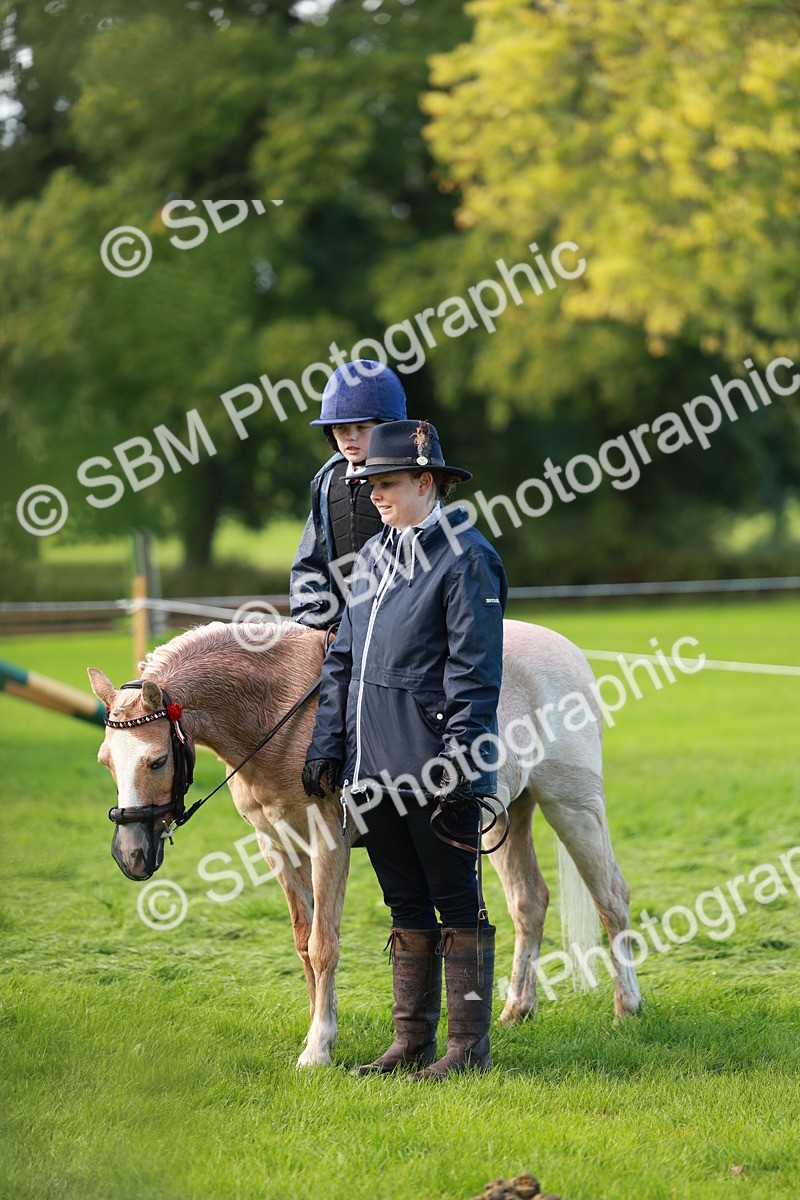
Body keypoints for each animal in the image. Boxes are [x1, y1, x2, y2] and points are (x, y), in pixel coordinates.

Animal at [88, 618, 642, 1068]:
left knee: (612, 897)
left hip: (572, 806)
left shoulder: (327, 842)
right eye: (105, 762)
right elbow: (303, 943)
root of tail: (568, 652)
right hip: (500, 818)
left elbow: (324, 945)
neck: (279, 712)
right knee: (529, 901)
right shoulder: (277, 847)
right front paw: (320, 1033)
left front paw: (316, 1051)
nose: (131, 856)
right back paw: (515, 1010)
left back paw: (628, 1011)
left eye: (158, 760)